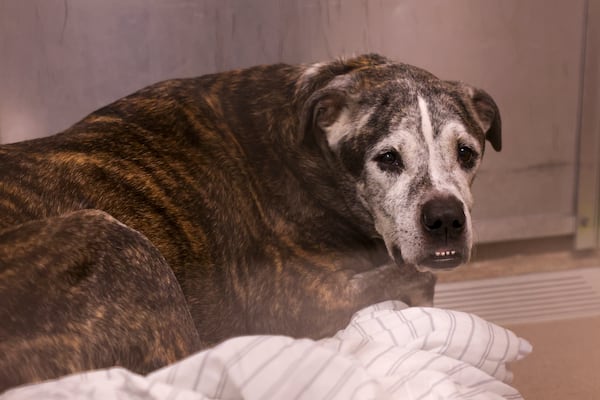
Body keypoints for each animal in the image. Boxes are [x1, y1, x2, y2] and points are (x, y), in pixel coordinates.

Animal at [0, 54, 496, 390]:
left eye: (467, 153)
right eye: (388, 158)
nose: (445, 218)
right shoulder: (298, 302)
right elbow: (416, 278)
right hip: (119, 244)